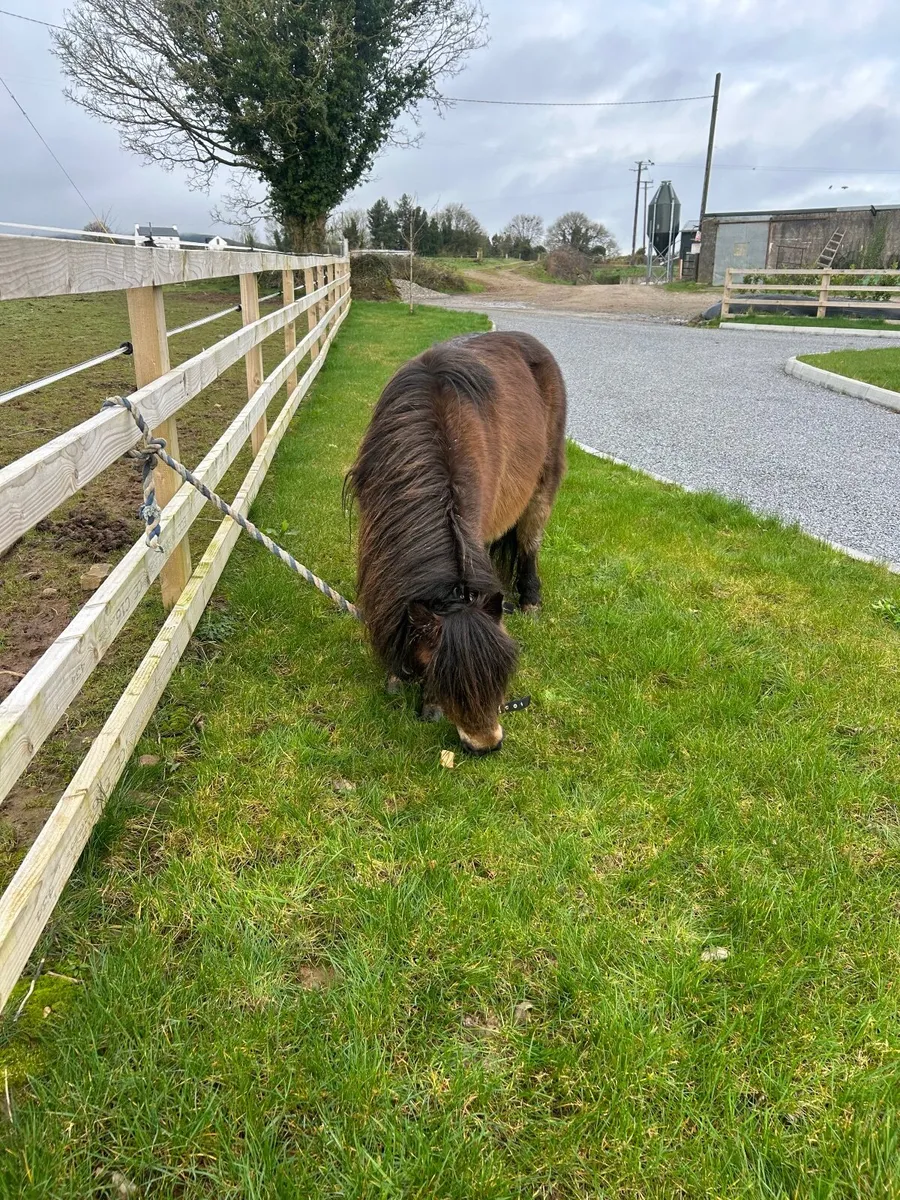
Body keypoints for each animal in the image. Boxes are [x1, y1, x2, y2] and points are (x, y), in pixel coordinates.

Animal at [345, 330, 566, 754]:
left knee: (530, 540)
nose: (486, 745)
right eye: (441, 675)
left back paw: (530, 599)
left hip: (543, 482)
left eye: (502, 675)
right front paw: (397, 675)